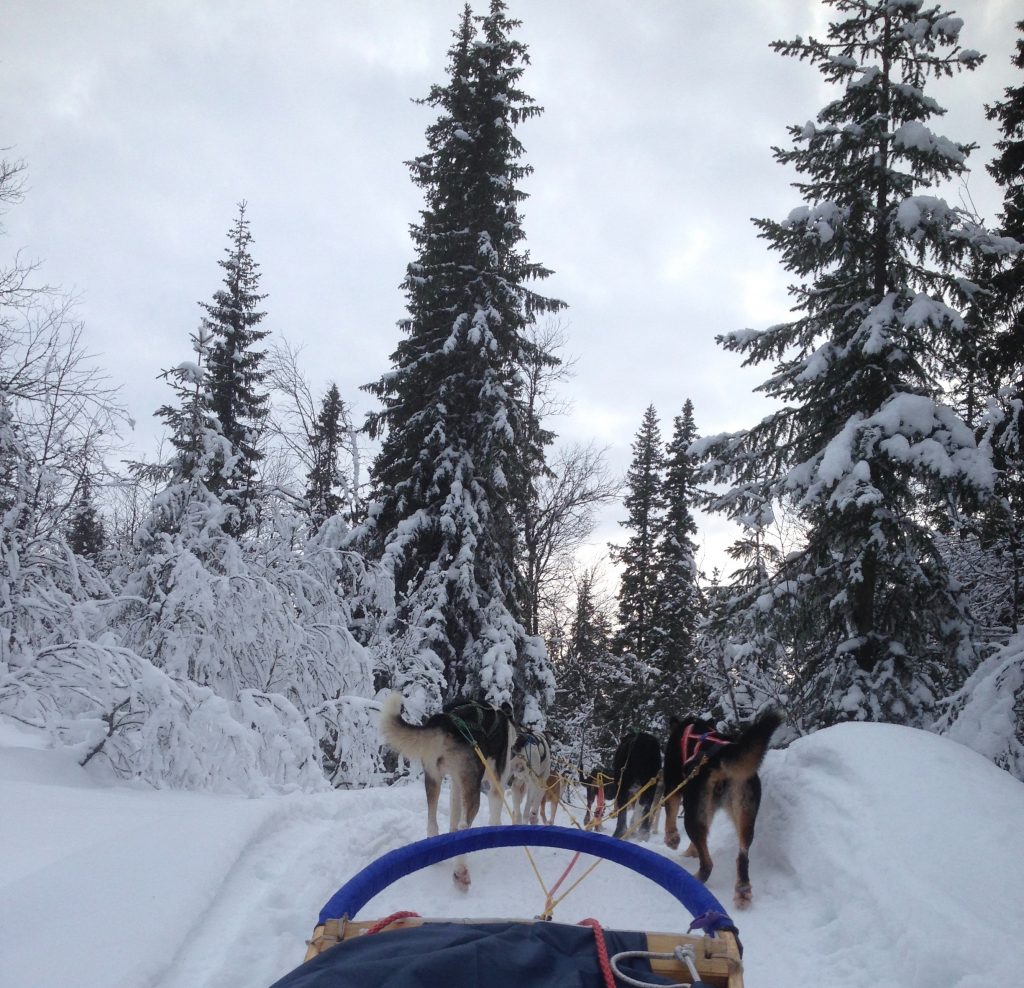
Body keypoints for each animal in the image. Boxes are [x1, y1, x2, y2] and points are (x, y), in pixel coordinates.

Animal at [378, 692, 516, 888]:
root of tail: (447, 721)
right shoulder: (496, 784)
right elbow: (494, 818)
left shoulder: (457, 784)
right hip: (472, 790)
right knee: (463, 826)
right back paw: (460, 871)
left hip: (433, 778)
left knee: (432, 822)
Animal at [659, 708, 778, 909]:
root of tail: (718, 757)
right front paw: (691, 851)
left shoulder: (673, 785)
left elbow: (670, 814)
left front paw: (672, 840)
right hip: (745, 816)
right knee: (742, 857)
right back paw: (742, 892)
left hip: (692, 814)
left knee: (708, 864)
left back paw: (695, 880)